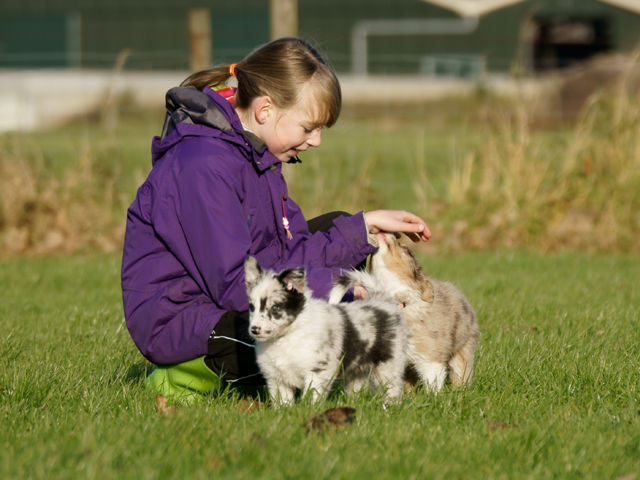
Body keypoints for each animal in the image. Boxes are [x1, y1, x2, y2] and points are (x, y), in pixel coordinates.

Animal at [244, 256, 408, 406]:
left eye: (276, 307)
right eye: (251, 307)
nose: (254, 330)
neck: (287, 336)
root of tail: (381, 299)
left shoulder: (317, 372)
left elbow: (312, 398)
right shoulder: (276, 378)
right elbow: (283, 403)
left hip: (389, 365)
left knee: (392, 389)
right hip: (356, 370)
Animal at [330, 233, 479, 392]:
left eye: (405, 249)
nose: (389, 233)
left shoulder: (430, 357)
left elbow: (433, 381)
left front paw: (434, 397)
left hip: (463, 347)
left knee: (461, 372)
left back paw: (460, 391)